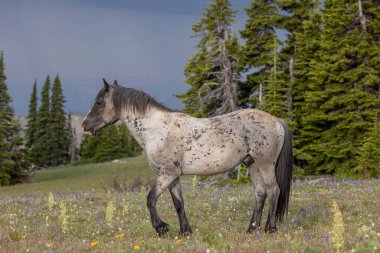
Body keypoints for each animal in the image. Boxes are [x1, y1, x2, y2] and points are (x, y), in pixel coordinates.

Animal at [81, 79, 292, 237]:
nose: (84, 126)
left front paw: (161, 228)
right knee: (260, 193)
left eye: (99, 102)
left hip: (265, 164)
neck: (157, 130)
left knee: (273, 190)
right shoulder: (173, 176)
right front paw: (185, 232)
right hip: (252, 164)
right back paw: (251, 229)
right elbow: (178, 203)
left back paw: (270, 228)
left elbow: (150, 199)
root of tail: (276, 121)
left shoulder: (167, 174)